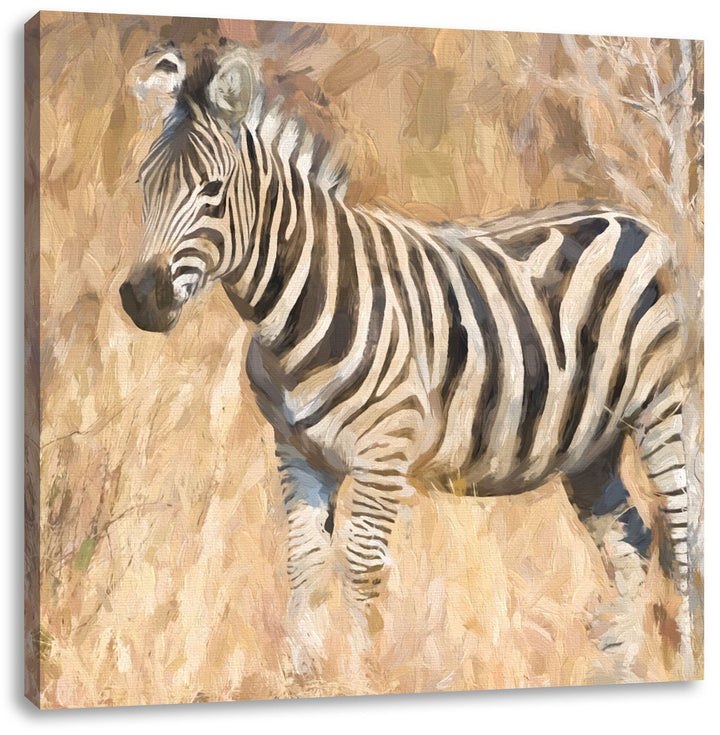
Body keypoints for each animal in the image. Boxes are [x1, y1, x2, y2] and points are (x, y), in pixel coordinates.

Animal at [121, 42, 696, 680]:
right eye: (145, 184)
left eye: (213, 190)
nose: (141, 298)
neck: (300, 309)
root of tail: (630, 217)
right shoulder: (297, 451)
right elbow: (303, 562)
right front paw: (304, 677)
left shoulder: (383, 452)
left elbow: (361, 568)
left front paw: (361, 678)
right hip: (591, 445)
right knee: (631, 541)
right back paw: (621, 669)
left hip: (658, 410)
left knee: (680, 535)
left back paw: (682, 660)